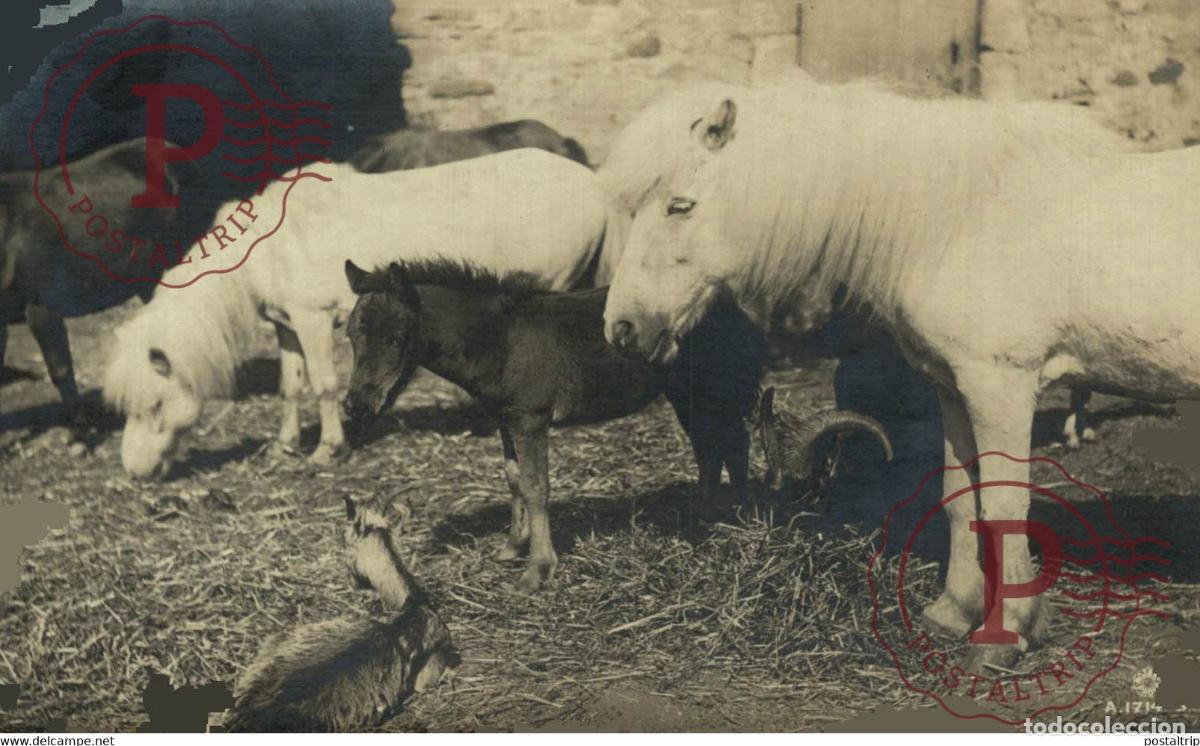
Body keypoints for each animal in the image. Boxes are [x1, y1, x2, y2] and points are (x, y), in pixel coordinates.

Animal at [104, 148, 620, 479]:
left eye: (154, 405)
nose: (134, 471)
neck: (269, 248)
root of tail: (594, 182)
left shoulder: (312, 320)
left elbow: (323, 385)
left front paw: (328, 451)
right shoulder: (286, 326)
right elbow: (290, 387)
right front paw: (284, 447)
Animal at [598, 76, 1181, 669]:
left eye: (680, 205)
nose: (621, 326)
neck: (960, 219)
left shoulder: (1002, 386)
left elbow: (1002, 502)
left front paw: (1007, 632)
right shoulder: (954, 386)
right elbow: (959, 495)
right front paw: (953, 610)